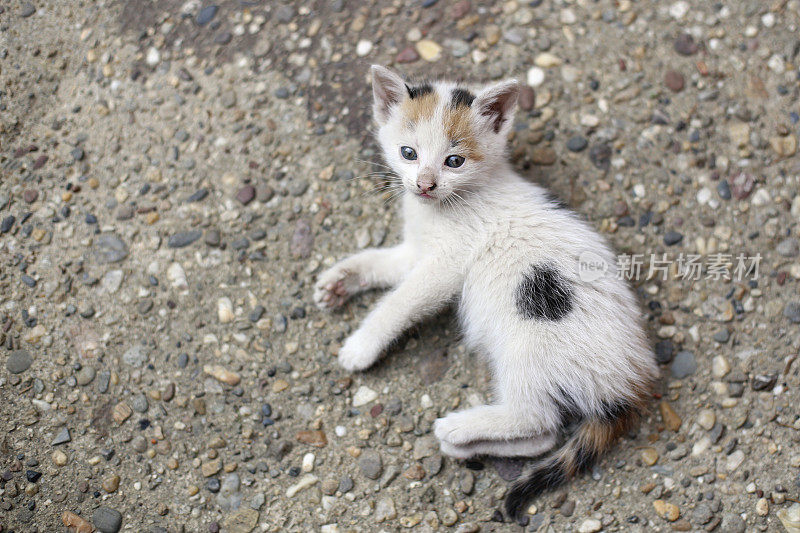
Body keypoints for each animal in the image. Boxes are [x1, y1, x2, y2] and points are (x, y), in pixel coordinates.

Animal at [312, 65, 656, 520]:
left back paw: (458, 427)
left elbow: (400, 302)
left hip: (529, 342)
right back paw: (463, 444)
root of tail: (631, 382)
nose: (425, 184)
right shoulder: (416, 250)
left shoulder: (445, 264)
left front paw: (361, 345)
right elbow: (382, 264)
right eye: (408, 153)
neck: (451, 203)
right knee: (545, 436)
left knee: (536, 418)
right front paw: (339, 280)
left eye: (454, 161)